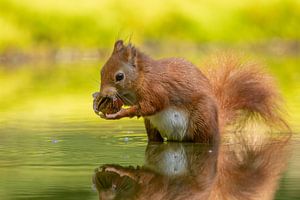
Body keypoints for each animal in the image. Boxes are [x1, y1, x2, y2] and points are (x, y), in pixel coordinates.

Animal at [92, 40, 288, 143]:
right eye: (101, 71)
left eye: (119, 76)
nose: (104, 93)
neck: (142, 77)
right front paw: (97, 100)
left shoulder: (156, 89)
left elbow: (152, 106)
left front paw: (119, 113)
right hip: (152, 127)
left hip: (201, 121)